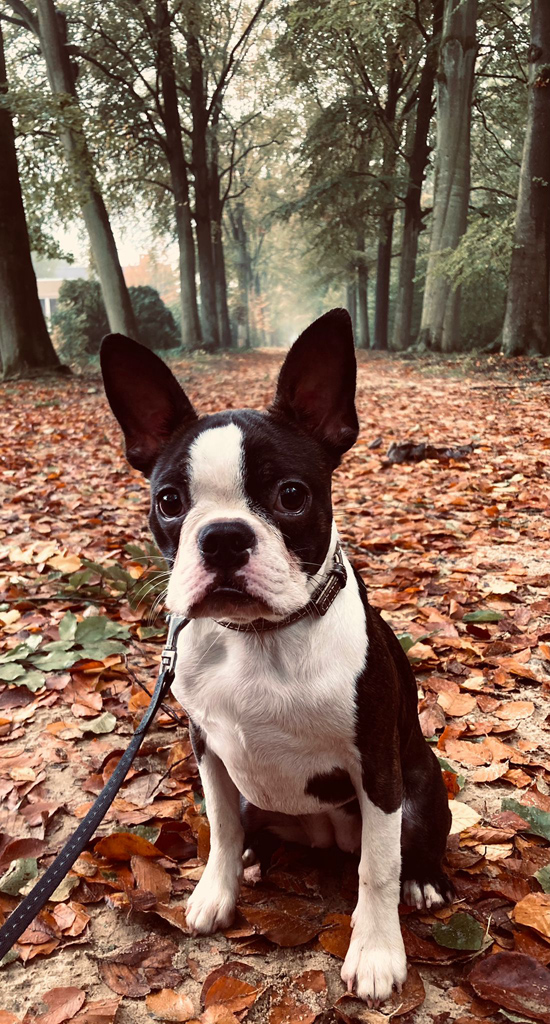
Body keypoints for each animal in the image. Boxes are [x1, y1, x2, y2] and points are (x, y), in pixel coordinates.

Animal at [100, 309, 452, 1004]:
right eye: (169, 502)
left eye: (292, 495)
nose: (223, 536)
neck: (259, 638)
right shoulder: (207, 747)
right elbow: (218, 826)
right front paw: (217, 891)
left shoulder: (377, 767)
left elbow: (377, 866)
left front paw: (376, 952)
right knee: (247, 825)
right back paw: (254, 859)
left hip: (421, 787)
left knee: (406, 846)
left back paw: (422, 882)